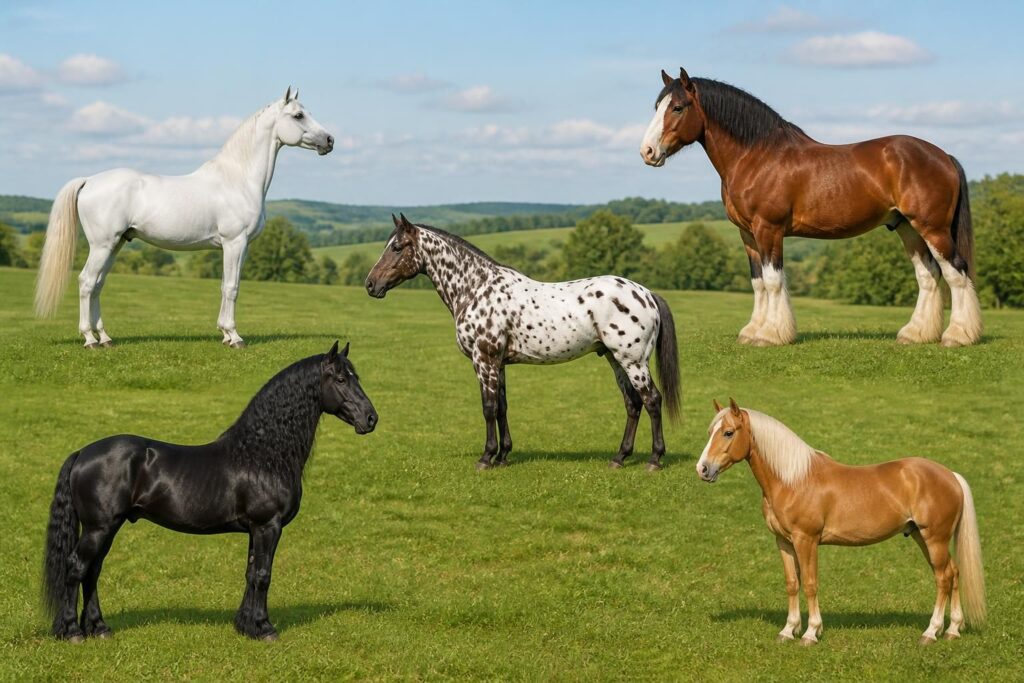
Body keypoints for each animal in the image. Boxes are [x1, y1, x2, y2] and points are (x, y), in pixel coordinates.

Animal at [34, 87, 334, 349]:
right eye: (298, 115)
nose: (329, 141)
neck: (238, 179)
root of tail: (89, 180)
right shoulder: (234, 243)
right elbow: (232, 287)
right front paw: (235, 337)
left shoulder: (238, 247)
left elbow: (223, 286)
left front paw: (224, 334)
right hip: (102, 245)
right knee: (86, 282)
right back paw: (89, 339)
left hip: (116, 244)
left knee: (97, 285)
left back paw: (105, 338)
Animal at [42, 341, 377, 642]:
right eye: (341, 379)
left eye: (356, 376)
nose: (371, 418)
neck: (262, 453)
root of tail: (82, 454)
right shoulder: (268, 526)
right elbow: (263, 576)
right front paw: (264, 629)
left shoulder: (256, 530)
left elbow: (250, 573)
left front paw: (246, 626)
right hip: (99, 528)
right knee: (77, 568)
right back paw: (72, 632)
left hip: (107, 528)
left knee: (93, 571)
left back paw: (99, 629)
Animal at [365, 214, 680, 470]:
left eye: (397, 247)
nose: (370, 284)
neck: (476, 288)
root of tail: (647, 293)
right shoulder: (499, 363)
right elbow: (502, 406)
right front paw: (503, 456)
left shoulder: (484, 360)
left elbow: (488, 407)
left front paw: (486, 457)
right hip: (616, 360)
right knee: (633, 404)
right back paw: (619, 458)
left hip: (633, 361)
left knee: (652, 400)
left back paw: (654, 460)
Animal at [641, 68, 982, 348]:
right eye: (656, 107)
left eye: (678, 107)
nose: (647, 152)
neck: (757, 156)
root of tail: (944, 156)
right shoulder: (747, 235)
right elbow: (758, 282)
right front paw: (751, 331)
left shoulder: (769, 229)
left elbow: (773, 280)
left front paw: (770, 335)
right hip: (907, 227)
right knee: (928, 275)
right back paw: (915, 334)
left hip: (932, 228)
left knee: (956, 272)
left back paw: (957, 336)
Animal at [696, 399, 985, 645]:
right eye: (711, 431)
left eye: (728, 432)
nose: (703, 469)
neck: (793, 479)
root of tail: (951, 475)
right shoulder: (784, 542)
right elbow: (792, 584)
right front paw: (788, 631)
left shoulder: (806, 540)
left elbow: (810, 584)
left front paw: (810, 633)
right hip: (921, 536)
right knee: (953, 573)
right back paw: (952, 630)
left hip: (934, 539)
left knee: (943, 578)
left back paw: (931, 632)